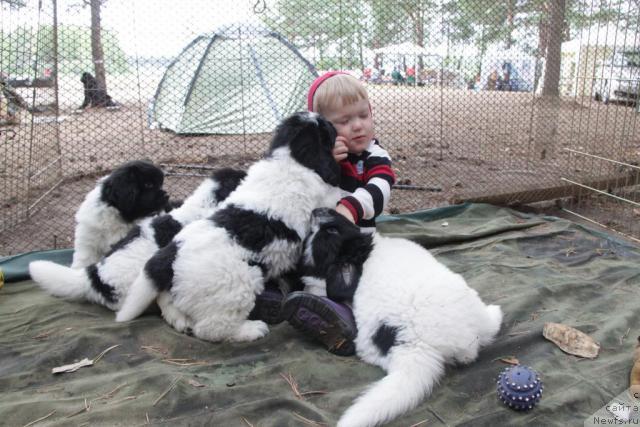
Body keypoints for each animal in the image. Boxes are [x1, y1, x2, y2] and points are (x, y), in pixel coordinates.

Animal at [117, 113, 342, 344]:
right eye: (325, 128)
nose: (333, 125)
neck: (289, 158)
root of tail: (168, 256)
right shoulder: (324, 197)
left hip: (176, 292)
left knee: (170, 306)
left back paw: (183, 323)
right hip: (237, 287)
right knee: (212, 328)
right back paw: (251, 329)